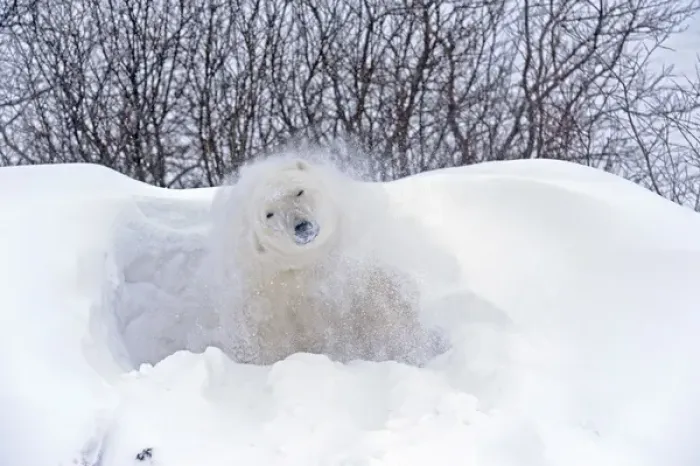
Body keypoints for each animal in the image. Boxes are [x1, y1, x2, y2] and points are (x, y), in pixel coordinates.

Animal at [207, 155, 438, 366]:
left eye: (299, 191)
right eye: (269, 214)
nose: (302, 226)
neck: (308, 263)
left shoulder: (356, 261)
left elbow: (387, 304)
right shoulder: (263, 289)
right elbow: (260, 331)